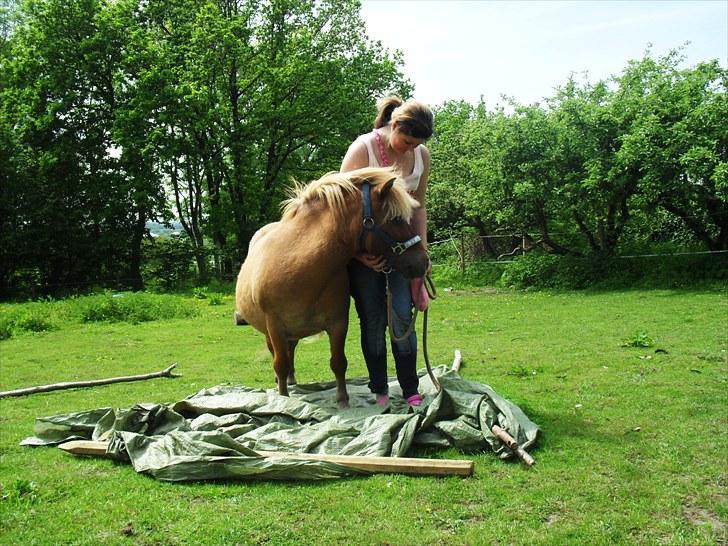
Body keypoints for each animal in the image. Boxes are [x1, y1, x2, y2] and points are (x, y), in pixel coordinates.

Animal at [233, 166, 430, 404]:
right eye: (397, 219)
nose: (423, 263)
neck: (299, 271)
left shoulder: (338, 323)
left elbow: (338, 362)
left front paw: (342, 400)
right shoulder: (275, 326)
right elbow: (280, 363)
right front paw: (283, 399)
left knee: (292, 351)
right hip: (270, 332)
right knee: (280, 356)